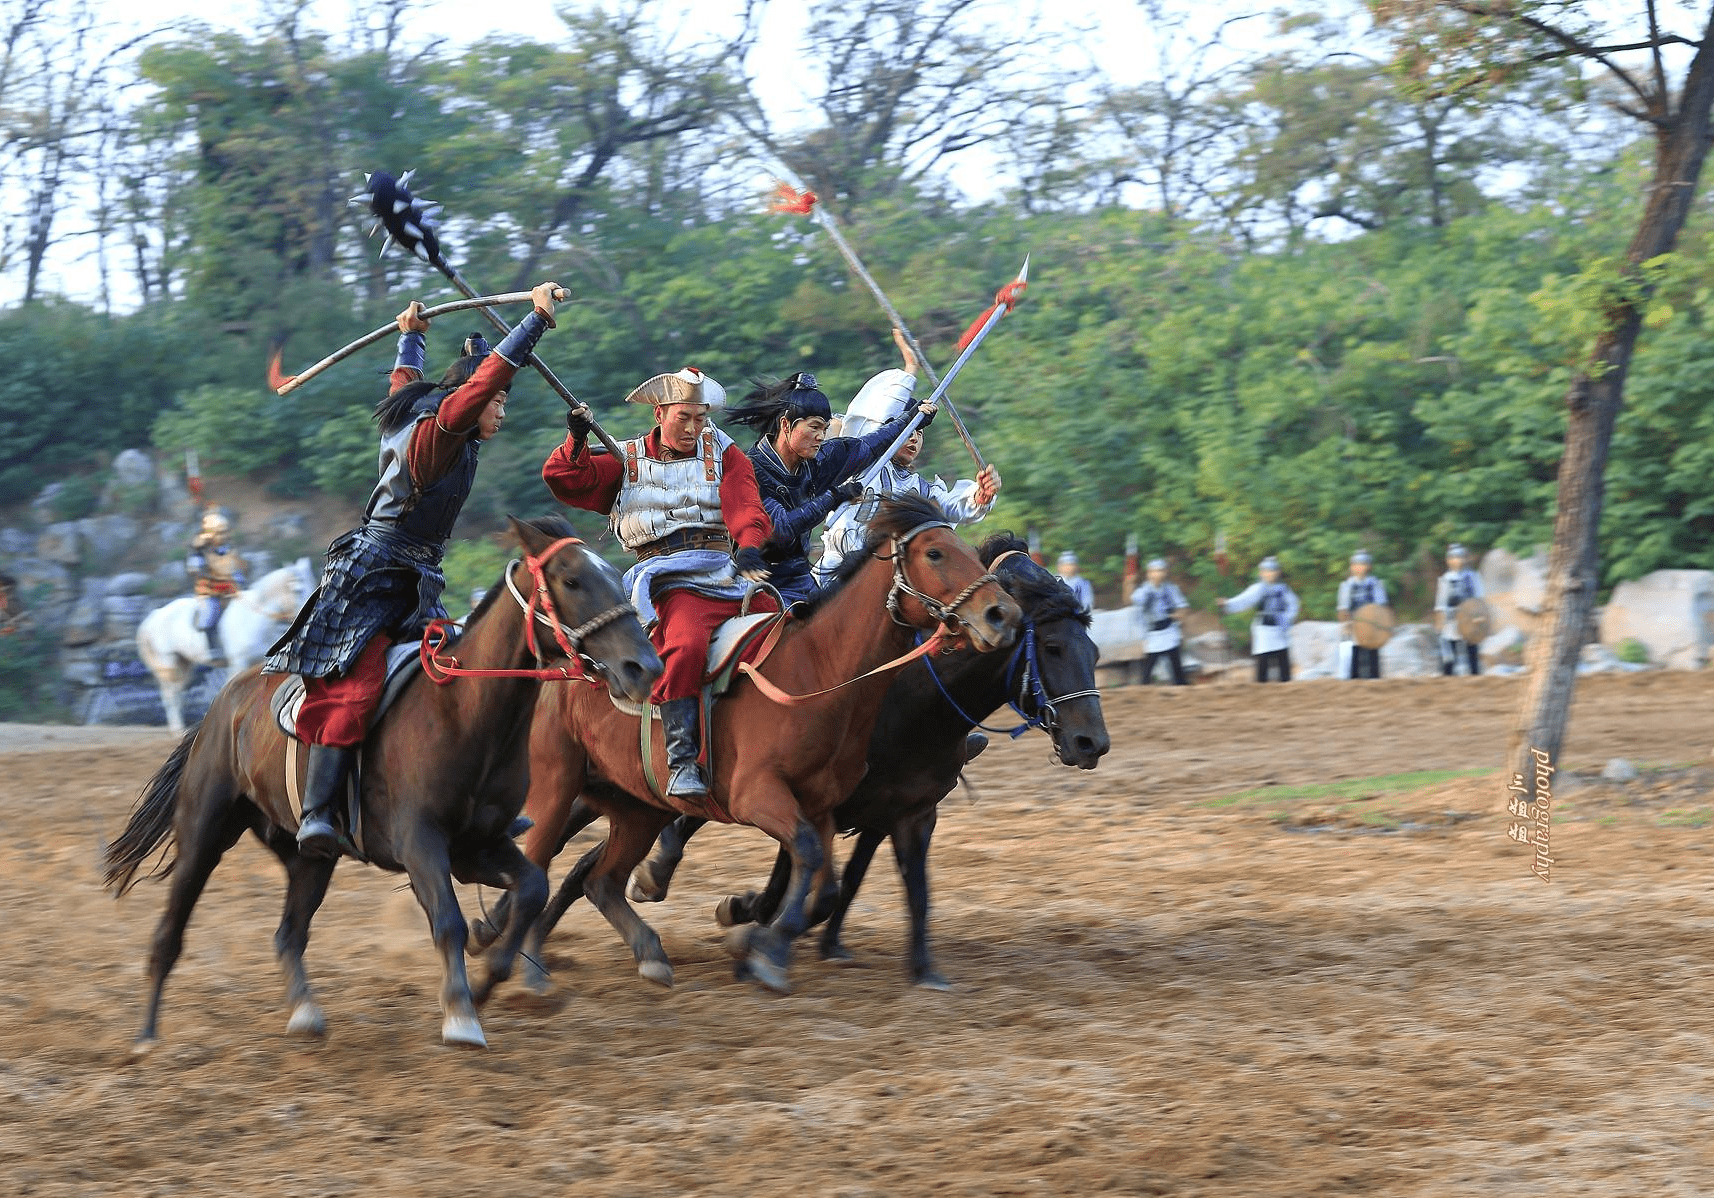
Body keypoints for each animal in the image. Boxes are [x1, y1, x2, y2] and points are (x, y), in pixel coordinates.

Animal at [103, 514, 658, 1048]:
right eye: (572, 579)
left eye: (614, 577)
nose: (644, 666)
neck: (464, 714)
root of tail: (224, 705)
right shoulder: (421, 843)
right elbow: (450, 922)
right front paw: (461, 1014)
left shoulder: (478, 847)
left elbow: (532, 888)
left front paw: (485, 984)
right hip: (204, 832)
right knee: (170, 931)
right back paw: (147, 1036)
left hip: (309, 858)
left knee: (289, 933)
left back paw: (304, 1011)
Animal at [521, 534, 1110, 987]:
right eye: (1053, 647)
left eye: (1094, 649)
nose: (1092, 742)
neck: (908, 696)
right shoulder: (803, 803)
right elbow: (796, 883)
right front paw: (747, 926)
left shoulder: (903, 812)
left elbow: (885, 887)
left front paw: (915, 968)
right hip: (587, 790)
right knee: (568, 855)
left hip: (627, 798)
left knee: (588, 866)